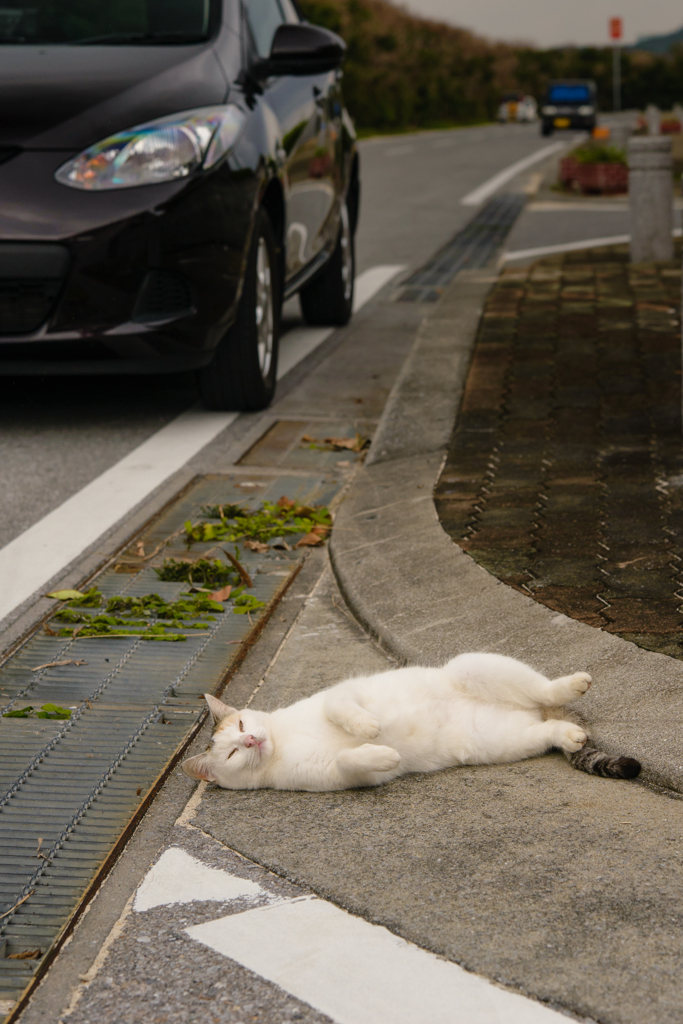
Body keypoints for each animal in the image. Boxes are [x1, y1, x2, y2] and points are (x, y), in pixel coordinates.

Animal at [180, 655, 643, 790]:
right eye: (234, 753)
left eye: (242, 727)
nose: (253, 741)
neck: (284, 740)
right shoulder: (337, 777)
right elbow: (352, 761)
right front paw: (382, 753)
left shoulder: (339, 693)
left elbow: (342, 709)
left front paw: (368, 728)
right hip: (499, 740)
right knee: (547, 732)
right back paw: (568, 733)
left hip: (475, 665)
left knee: (544, 690)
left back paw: (572, 685)